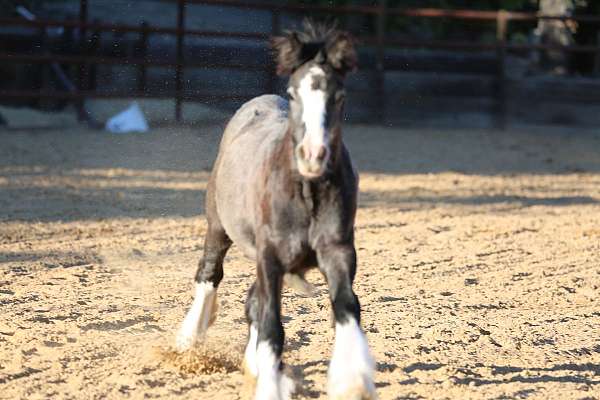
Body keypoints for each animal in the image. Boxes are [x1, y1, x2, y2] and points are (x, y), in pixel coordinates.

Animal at [176, 22, 378, 400]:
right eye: (294, 93)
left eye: (339, 96)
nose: (312, 155)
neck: (305, 192)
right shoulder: (270, 256)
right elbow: (271, 323)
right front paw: (269, 386)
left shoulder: (338, 251)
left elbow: (346, 306)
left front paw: (352, 380)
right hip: (218, 226)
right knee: (210, 273)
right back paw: (189, 338)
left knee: (252, 301)